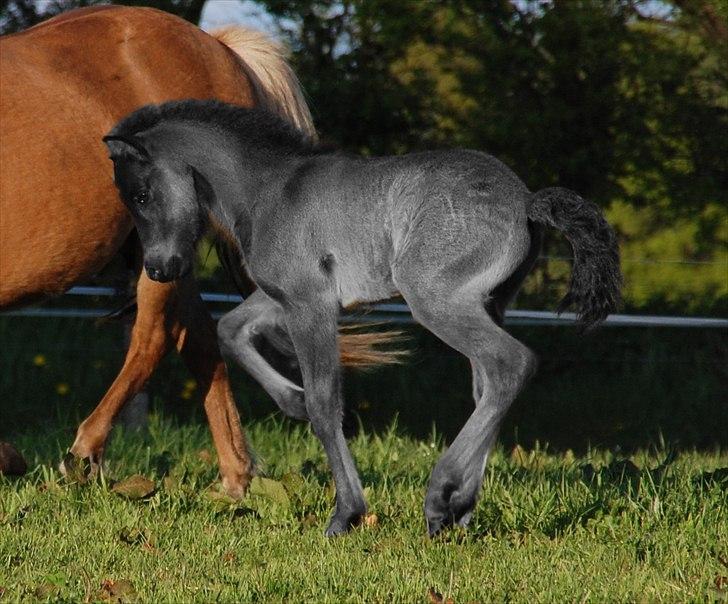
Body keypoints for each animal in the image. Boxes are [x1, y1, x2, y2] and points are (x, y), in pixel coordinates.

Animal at [1, 7, 398, 494]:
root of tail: (220, 47)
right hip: (168, 256)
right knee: (202, 340)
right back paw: (234, 479)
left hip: (164, 249)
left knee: (155, 338)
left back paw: (85, 454)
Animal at [105, 100, 624, 536]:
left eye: (142, 195)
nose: (159, 269)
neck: (269, 191)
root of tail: (526, 201)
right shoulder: (286, 297)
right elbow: (230, 330)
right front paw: (291, 400)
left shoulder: (309, 303)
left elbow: (325, 403)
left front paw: (346, 514)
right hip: (489, 303)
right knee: (487, 387)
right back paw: (459, 510)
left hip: (435, 300)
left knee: (510, 365)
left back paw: (440, 497)